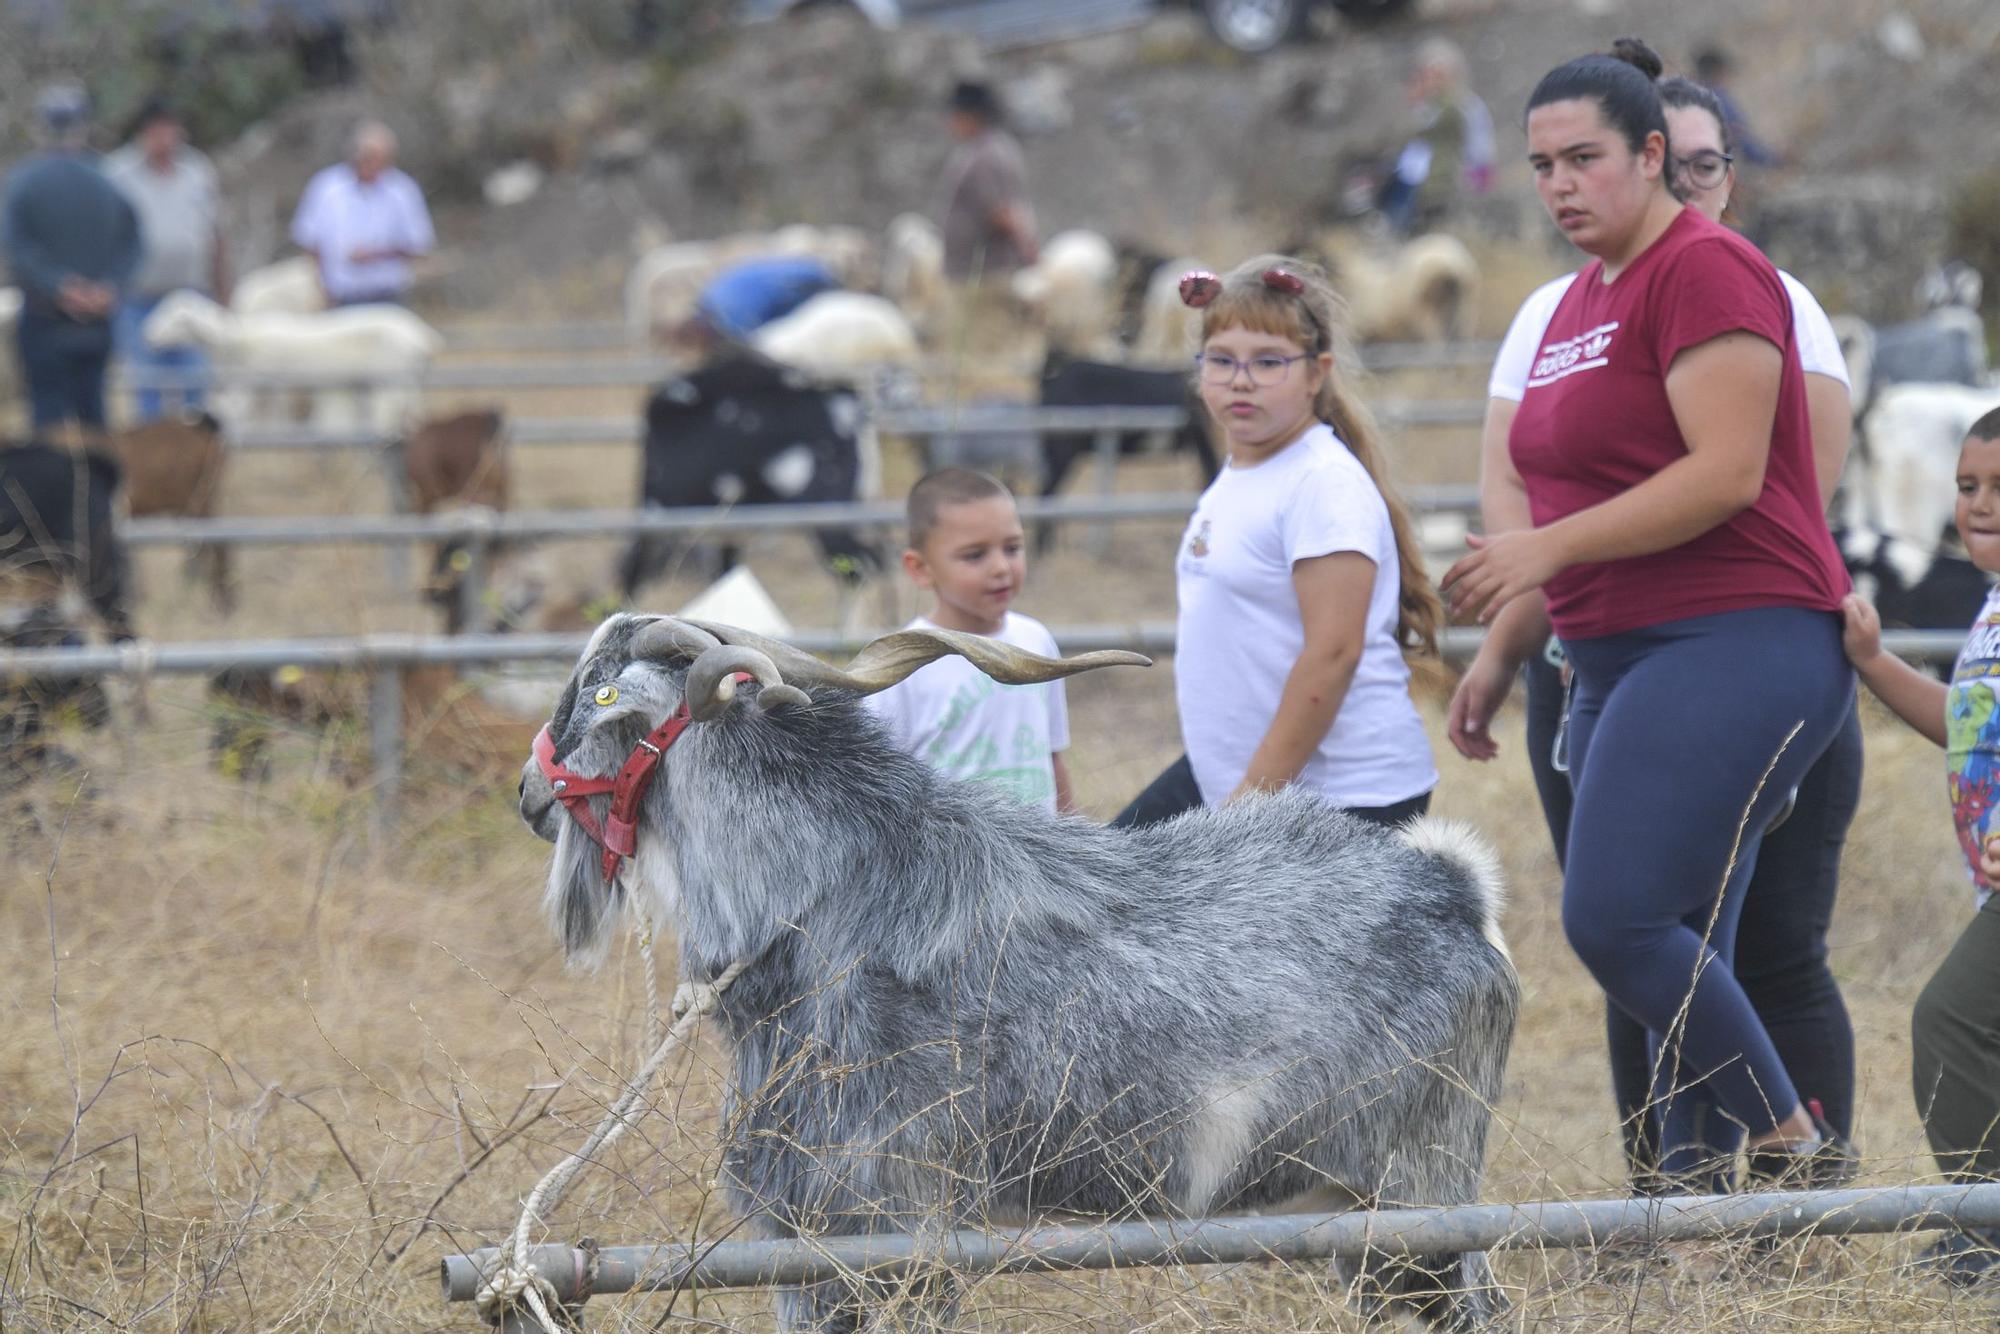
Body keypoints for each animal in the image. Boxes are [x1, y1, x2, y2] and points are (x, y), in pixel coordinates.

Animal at [146, 294, 444, 436]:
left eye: (177, 318)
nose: (147, 335)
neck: (237, 341)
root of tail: (423, 335)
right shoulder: (264, 388)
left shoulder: (259, 383)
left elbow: (253, 416)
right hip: (412, 379)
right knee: (418, 413)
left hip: (394, 379)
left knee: (398, 414)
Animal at [516, 620, 1512, 1328]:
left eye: (599, 690)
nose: (529, 796)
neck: (824, 892)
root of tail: (1453, 886)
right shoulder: (800, 1242)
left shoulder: (901, 1224)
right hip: (1357, 1214)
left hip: (1423, 1195)